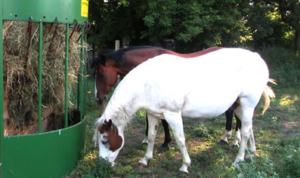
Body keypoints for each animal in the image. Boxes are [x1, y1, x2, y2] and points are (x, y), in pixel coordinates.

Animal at [91, 46, 241, 150]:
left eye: (102, 75)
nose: (98, 98)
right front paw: (147, 139)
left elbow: (164, 123)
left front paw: (165, 143)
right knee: (230, 113)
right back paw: (226, 138)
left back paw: (234, 141)